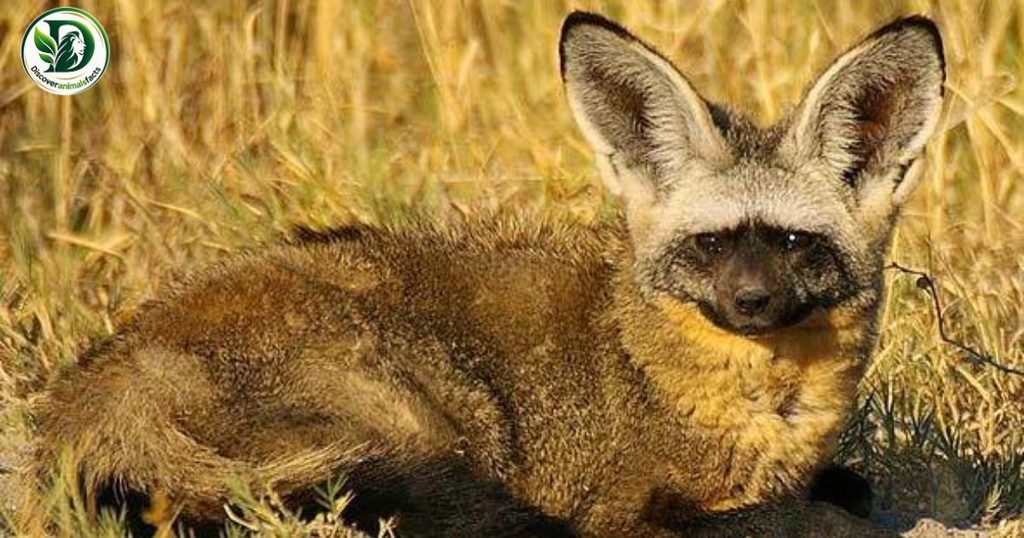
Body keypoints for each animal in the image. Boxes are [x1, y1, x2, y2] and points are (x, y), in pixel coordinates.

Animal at [23, 10, 945, 538]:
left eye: (792, 242)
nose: (752, 302)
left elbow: (847, 490)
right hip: (424, 415)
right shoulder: (626, 506)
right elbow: (811, 516)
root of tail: (94, 384)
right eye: (713, 245)